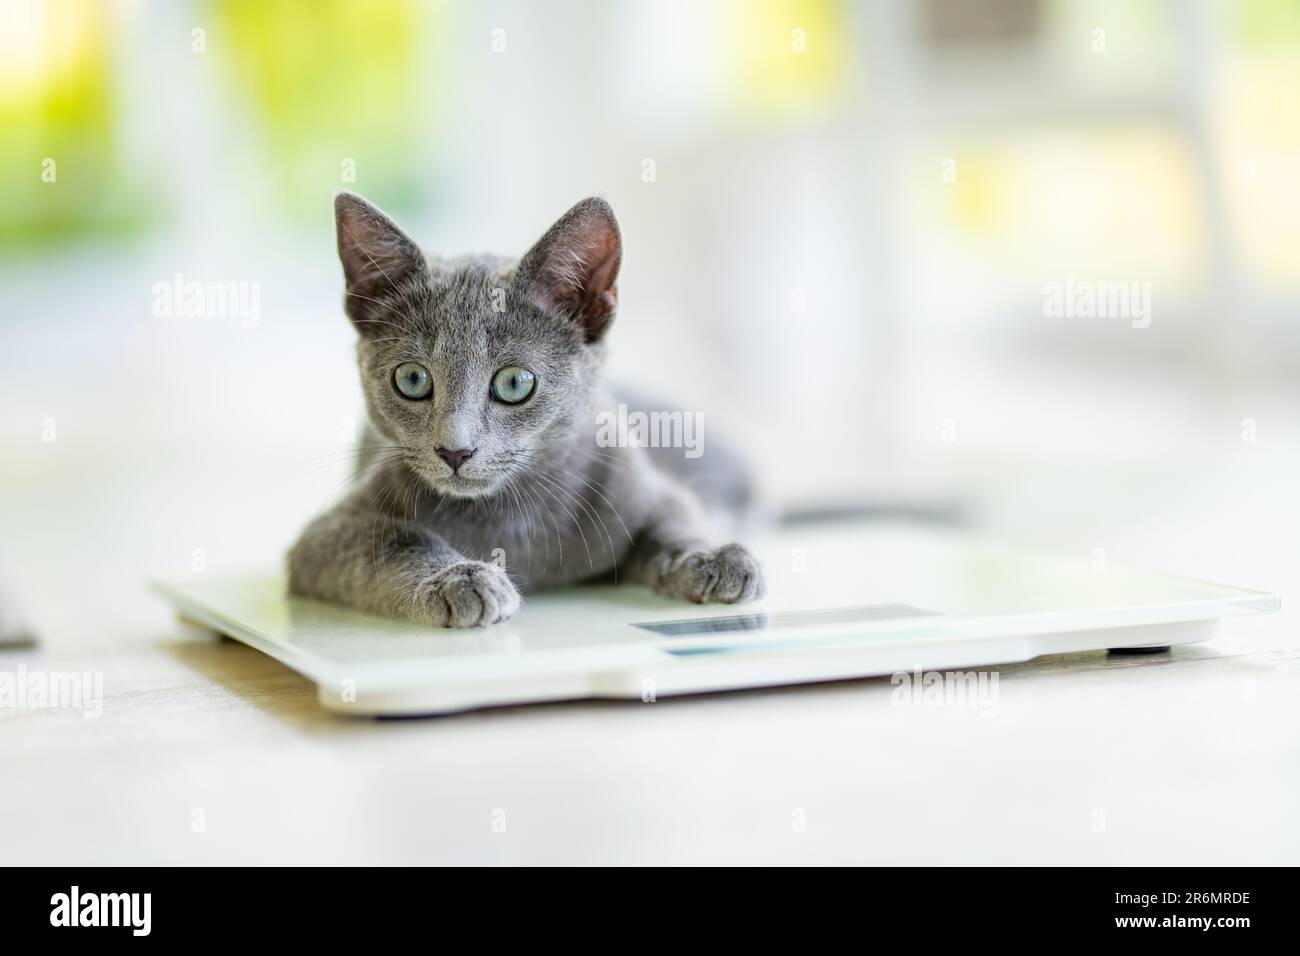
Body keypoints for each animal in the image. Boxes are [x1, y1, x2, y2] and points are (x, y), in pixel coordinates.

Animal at [287, 193, 759, 629]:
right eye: (412, 379)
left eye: (514, 383)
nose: (455, 451)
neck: (510, 518)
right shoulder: (323, 535)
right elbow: (396, 540)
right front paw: (460, 578)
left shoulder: (642, 486)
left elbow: (675, 520)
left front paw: (711, 557)